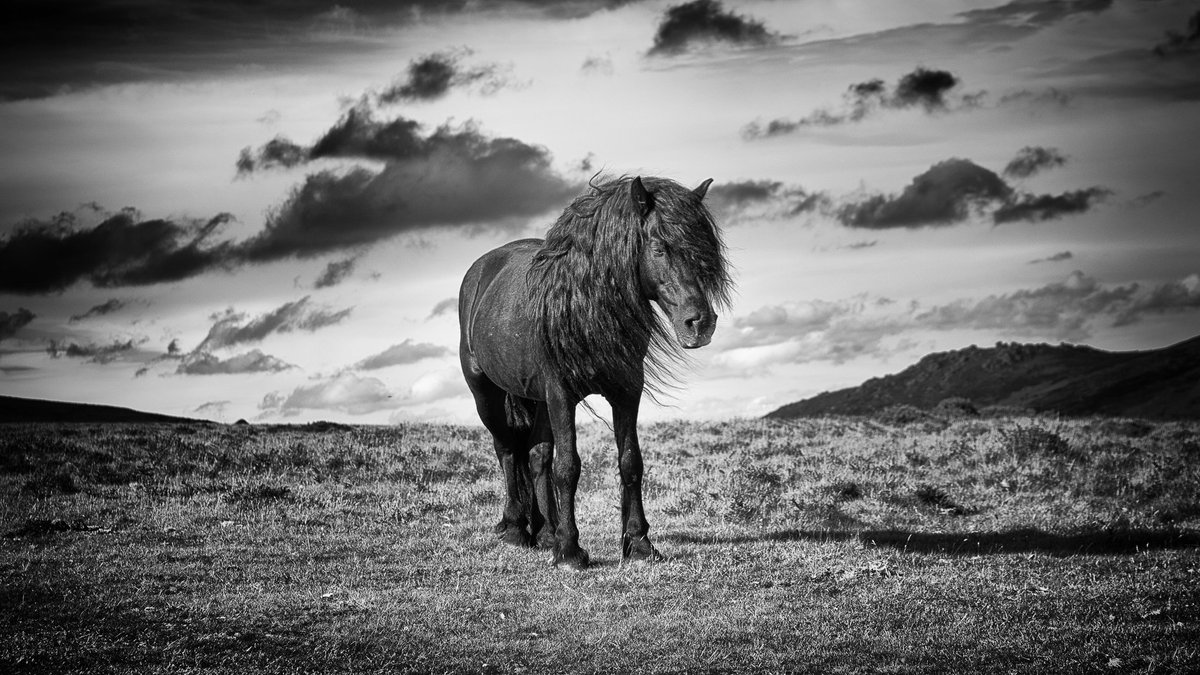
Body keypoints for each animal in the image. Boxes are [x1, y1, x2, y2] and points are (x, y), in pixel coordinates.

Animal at [457, 175, 731, 569]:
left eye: (705, 249)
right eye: (659, 246)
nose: (700, 324)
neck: (582, 307)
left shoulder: (627, 392)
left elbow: (630, 462)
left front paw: (639, 544)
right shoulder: (560, 394)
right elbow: (568, 467)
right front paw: (571, 552)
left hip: (537, 399)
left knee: (537, 455)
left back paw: (545, 532)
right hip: (486, 392)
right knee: (507, 449)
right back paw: (515, 529)